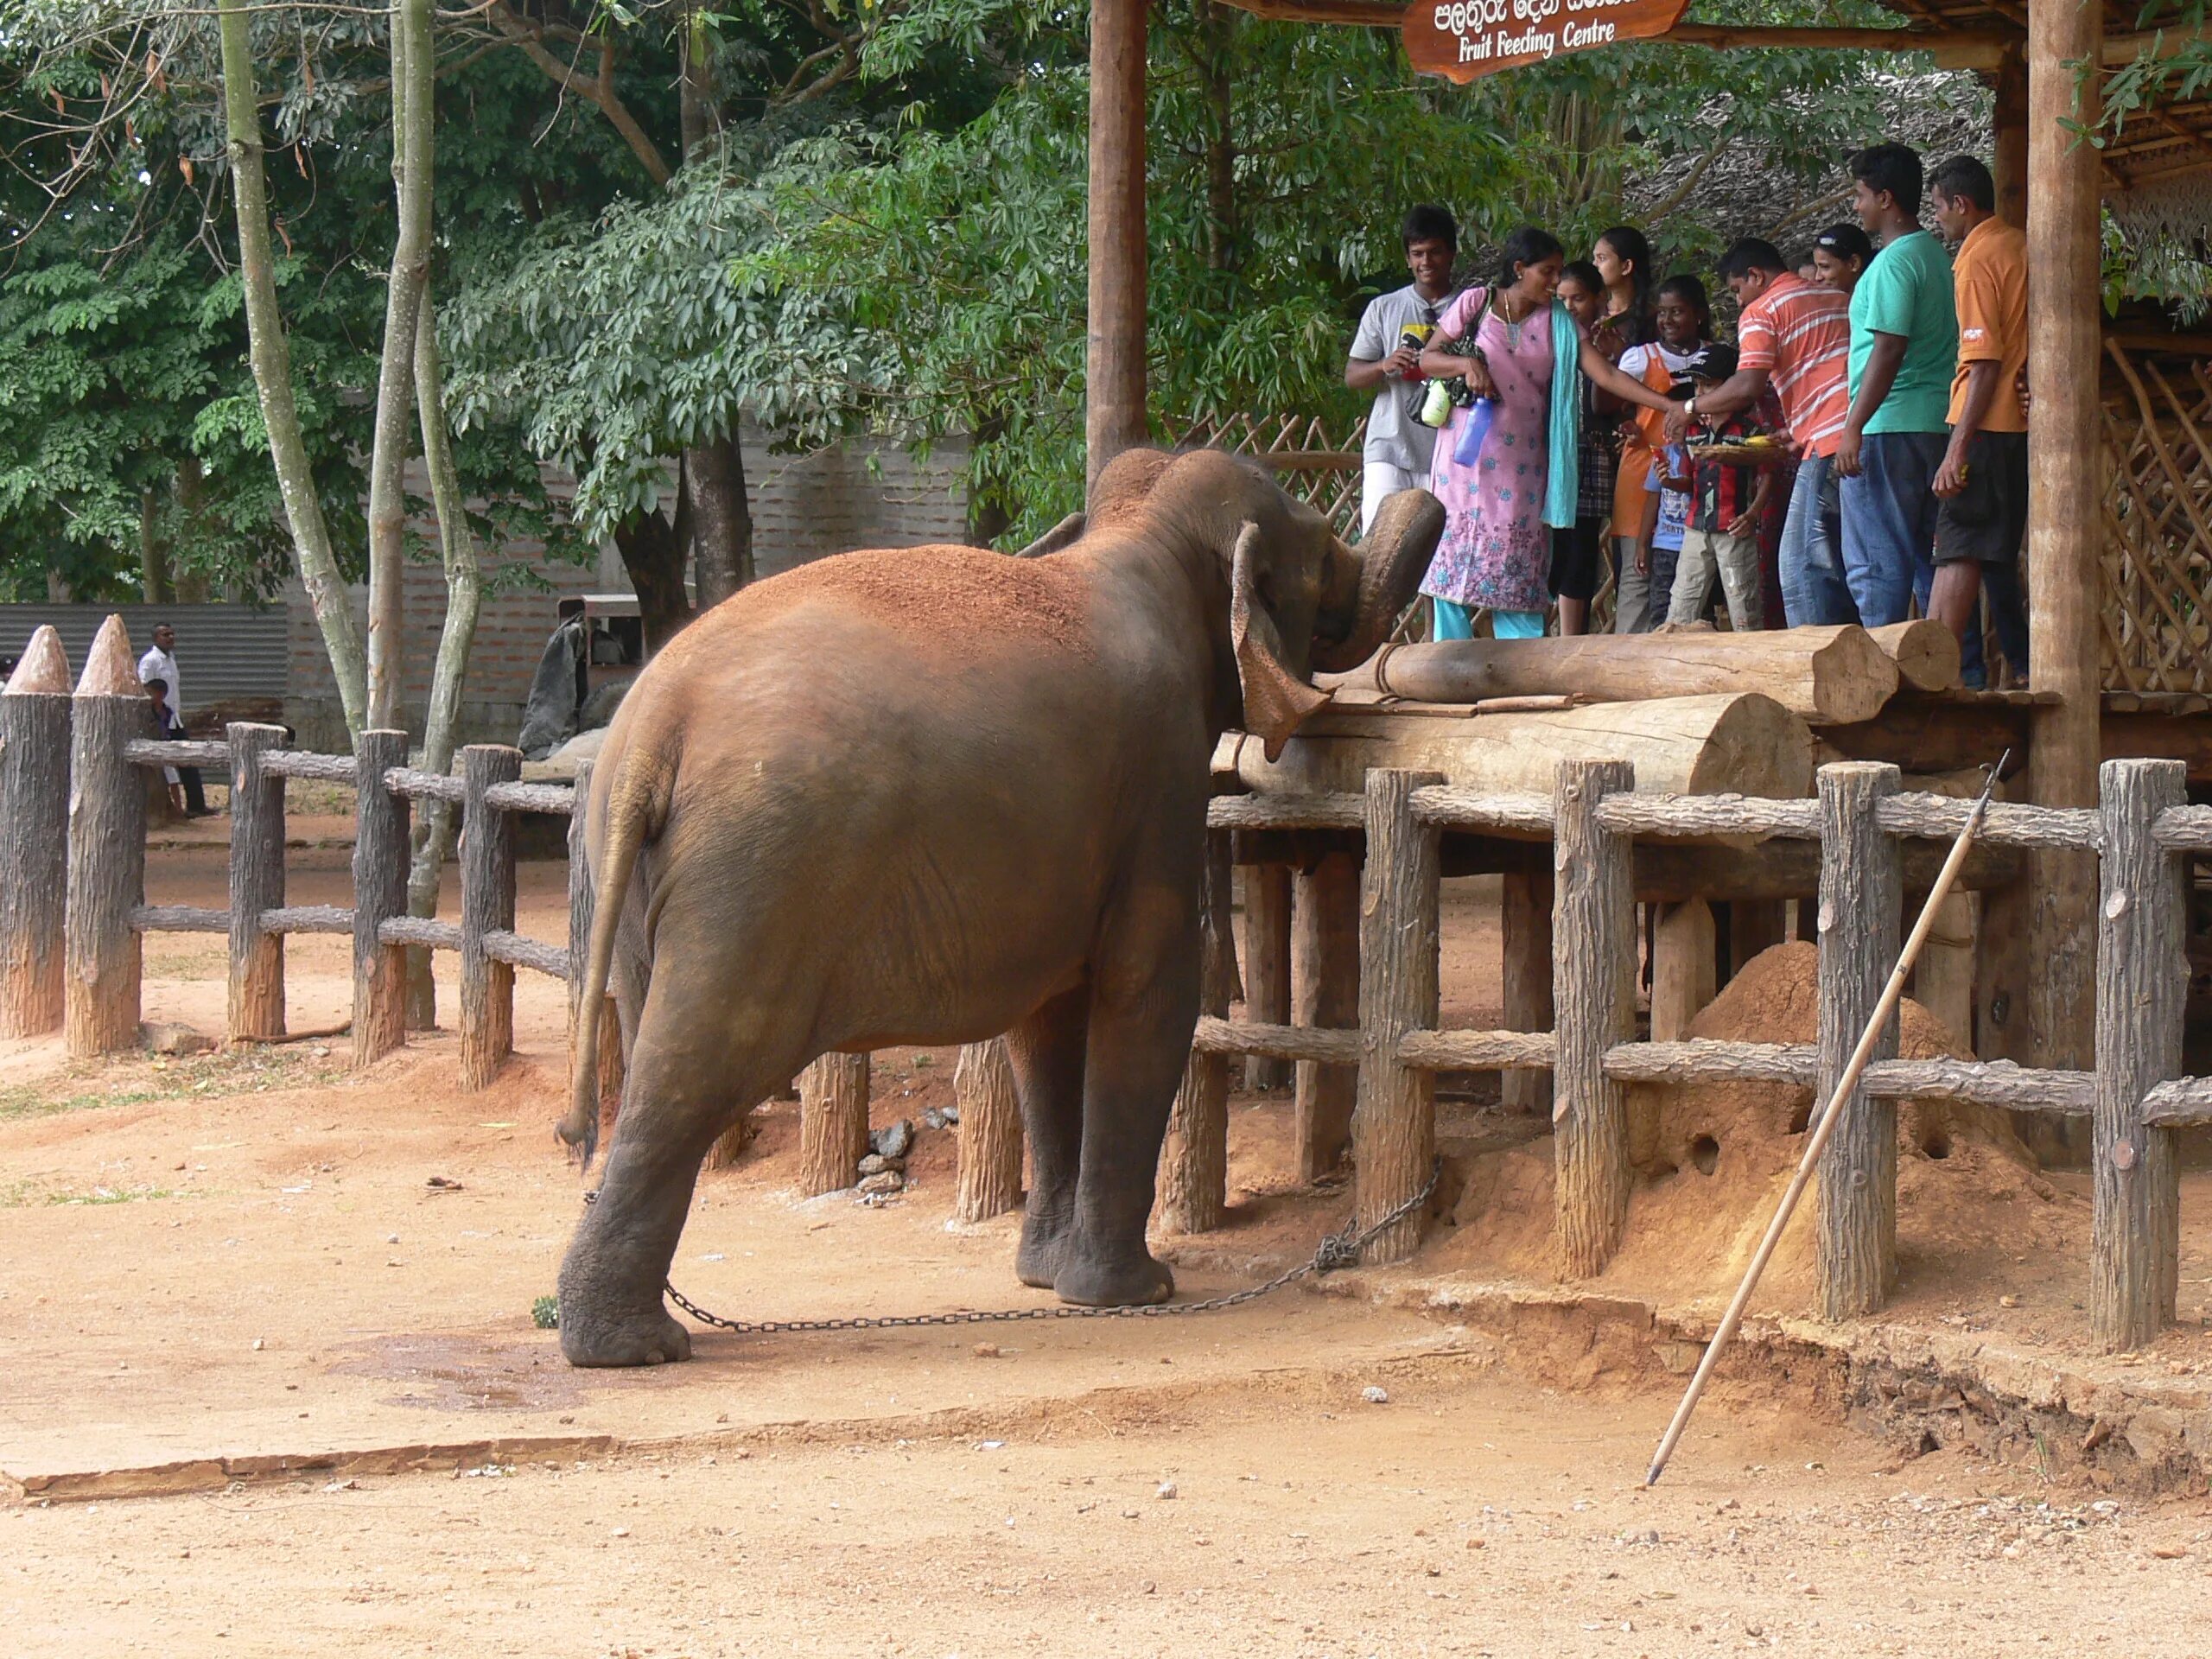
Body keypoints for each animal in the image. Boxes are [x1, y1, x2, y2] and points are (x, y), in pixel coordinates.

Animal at [553, 448, 1451, 1371]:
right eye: (1318, 550)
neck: (1140, 537)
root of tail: (654, 726)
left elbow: (1045, 1027)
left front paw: (1044, 1279)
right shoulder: (1160, 778)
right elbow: (1149, 996)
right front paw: (1132, 1293)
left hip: (645, 879)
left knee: (653, 1044)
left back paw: (629, 1334)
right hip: (753, 877)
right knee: (693, 1071)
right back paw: (633, 1348)